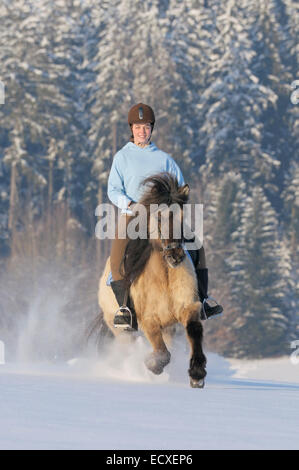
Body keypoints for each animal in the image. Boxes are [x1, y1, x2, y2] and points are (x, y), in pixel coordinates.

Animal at [97, 174, 207, 388]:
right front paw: (152, 365)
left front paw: (197, 373)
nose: (176, 256)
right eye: (158, 218)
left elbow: (194, 330)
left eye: (183, 218)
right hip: (120, 328)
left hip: (170, 327)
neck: (164, 276)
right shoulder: (148, 320)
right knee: (128, 348)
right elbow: (162, 353)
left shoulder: (188, 308)